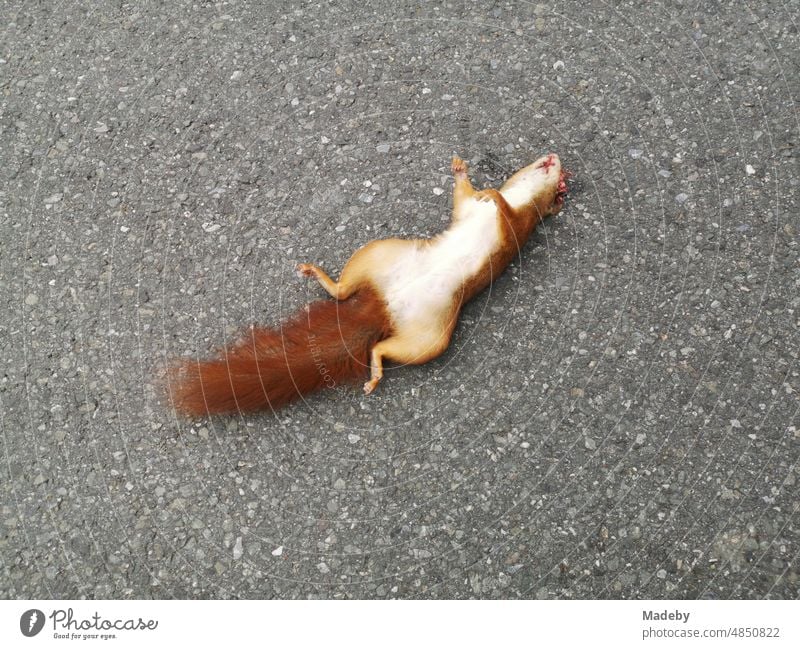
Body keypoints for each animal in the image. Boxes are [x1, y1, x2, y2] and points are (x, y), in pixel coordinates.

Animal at [169, 153, 568, 416]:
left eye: (562, 188)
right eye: (558, 177)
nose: (554, 157)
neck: (521, 199)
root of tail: (385, 307)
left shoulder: (516, 231)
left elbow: (503, 212)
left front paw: (493, 194)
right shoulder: (468, 209)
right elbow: (464, 198)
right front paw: (462, 170)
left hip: (428, 340)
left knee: (379, 346)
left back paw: (374, 374)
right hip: (376, 254)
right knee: (344, 293)